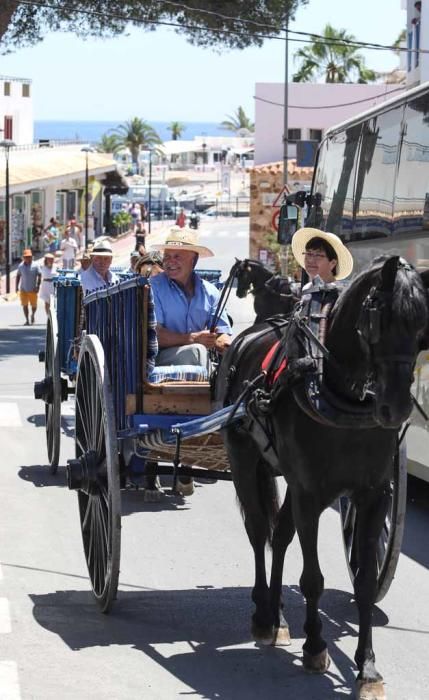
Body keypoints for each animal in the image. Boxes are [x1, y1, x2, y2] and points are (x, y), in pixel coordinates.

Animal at [219, 258, 428, 700]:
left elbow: (364, 582)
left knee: (279, 537)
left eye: (422, 325)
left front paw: (367, 667)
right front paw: (315, 645)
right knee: (259, 533)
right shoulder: (310, 494)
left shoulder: (372, 495)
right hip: (245, 461)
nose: (396, 407)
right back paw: (262, 613)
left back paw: (278, 616)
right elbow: (313, 579)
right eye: (378, 318)